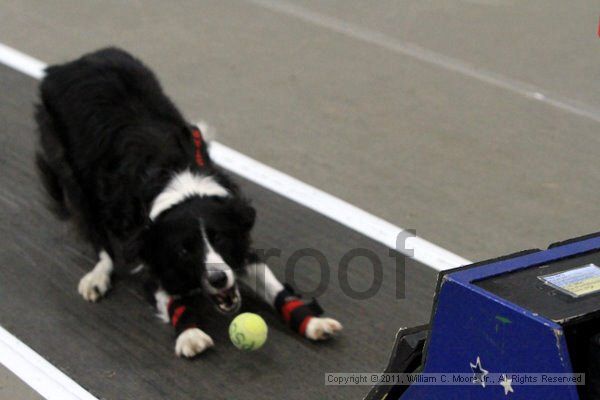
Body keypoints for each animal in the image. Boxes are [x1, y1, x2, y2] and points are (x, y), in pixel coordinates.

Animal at [34, 48, 342, 358]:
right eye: (184, 250)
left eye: (220, 238)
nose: (218, 280)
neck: (180, 183)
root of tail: (67, 65)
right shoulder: (149, 250)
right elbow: (169, 297)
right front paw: (190, 334)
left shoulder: (239, 246)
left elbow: (274, 286)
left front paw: (312, 322)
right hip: (72, 173)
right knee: (96, 233)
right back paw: (97, 276)